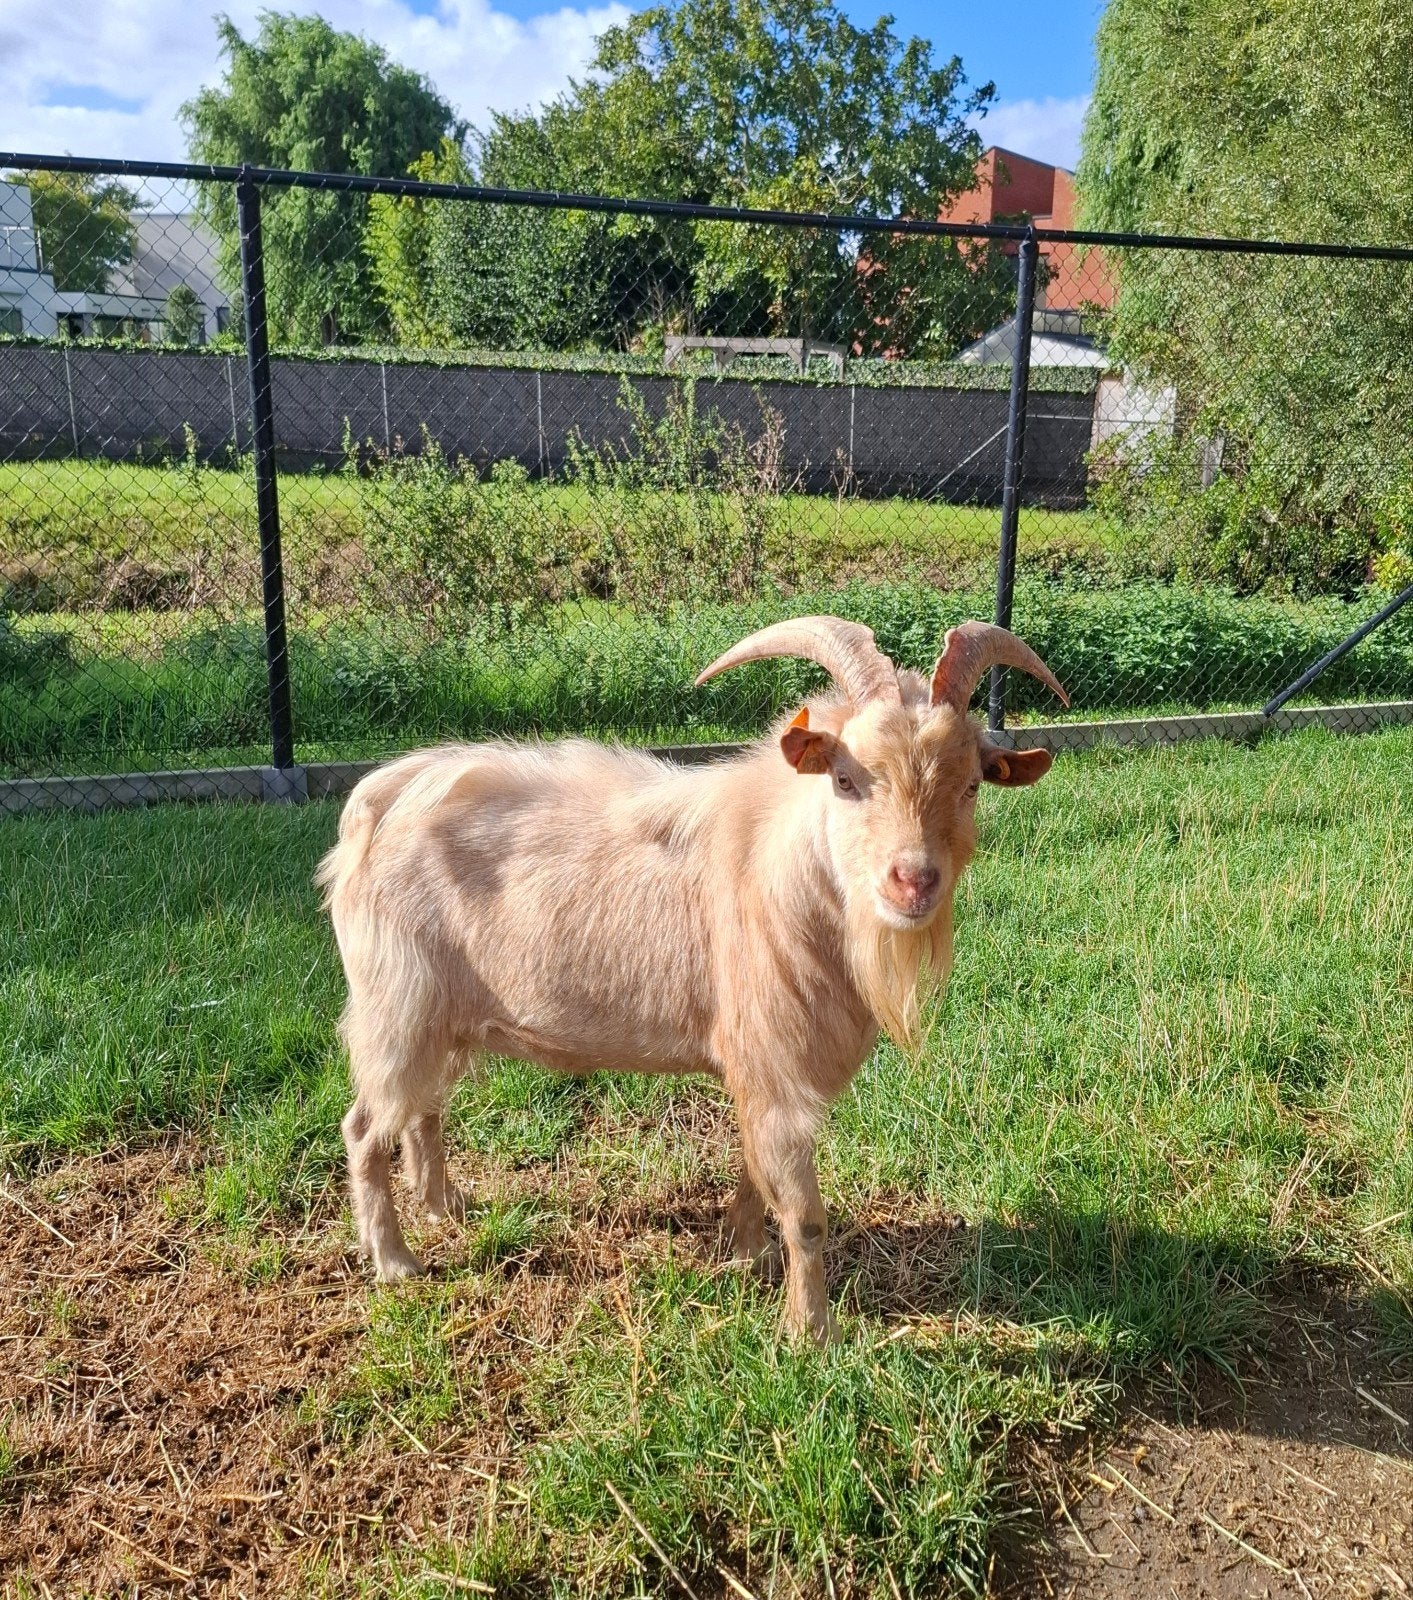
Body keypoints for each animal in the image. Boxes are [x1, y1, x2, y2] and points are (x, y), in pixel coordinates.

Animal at [317, 616, 1067, 1341]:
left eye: (970, 785)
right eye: (846, 780)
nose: (913, 880)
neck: (779, 866)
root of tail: (375, 805)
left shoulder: (759, 1068)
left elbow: (753, 1171)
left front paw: (745, 1254)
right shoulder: (776, 1060)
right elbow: (804, 1214)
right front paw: (811, 1334)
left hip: (440, 1016)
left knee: (423, 1111)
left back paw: (444, 1209)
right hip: (396, 1004)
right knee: (365, 1128)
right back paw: (395, 1260)